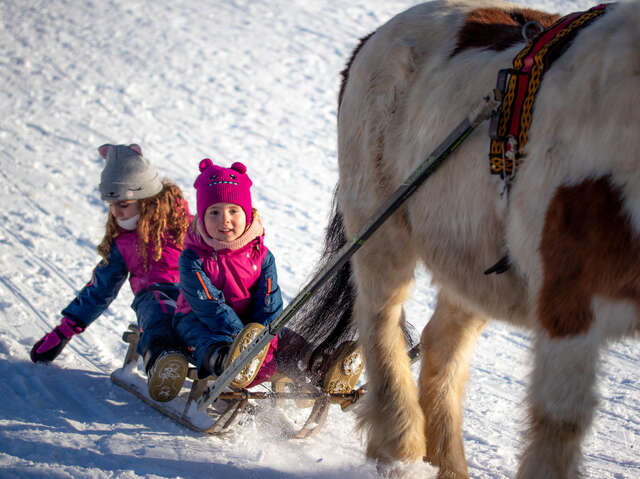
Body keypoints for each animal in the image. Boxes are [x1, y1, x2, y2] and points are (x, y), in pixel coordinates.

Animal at [292, 0, 636, 478]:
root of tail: (373, 38)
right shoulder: (569, 301)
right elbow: (560, 421)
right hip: (381, 229)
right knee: (380, 319)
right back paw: (398, 442)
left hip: (474, 267)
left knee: (441, 346)